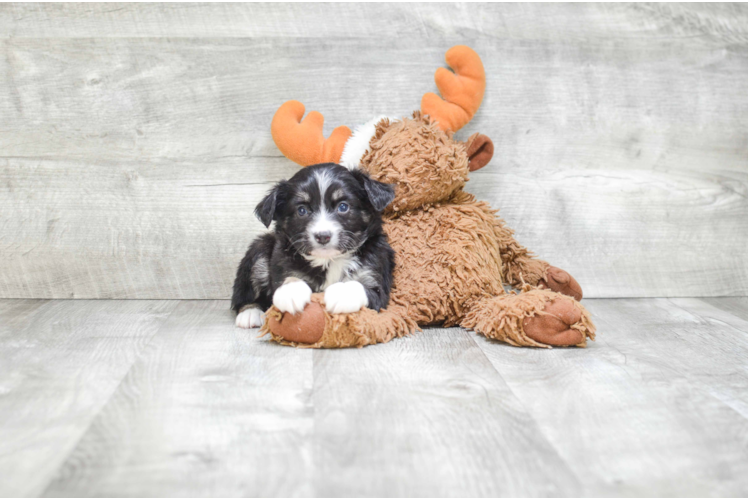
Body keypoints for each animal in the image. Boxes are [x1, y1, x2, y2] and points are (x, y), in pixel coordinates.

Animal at [232, 162, 398, 330]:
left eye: (343, 207)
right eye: (302, 210)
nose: (323, 236)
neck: (329, 260)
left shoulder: (377, 283)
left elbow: (359, 285)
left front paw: (341, 293)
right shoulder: (284, 266)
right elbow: (289, 279)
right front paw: (291, 291)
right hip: (259, 249)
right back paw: (250, 312)